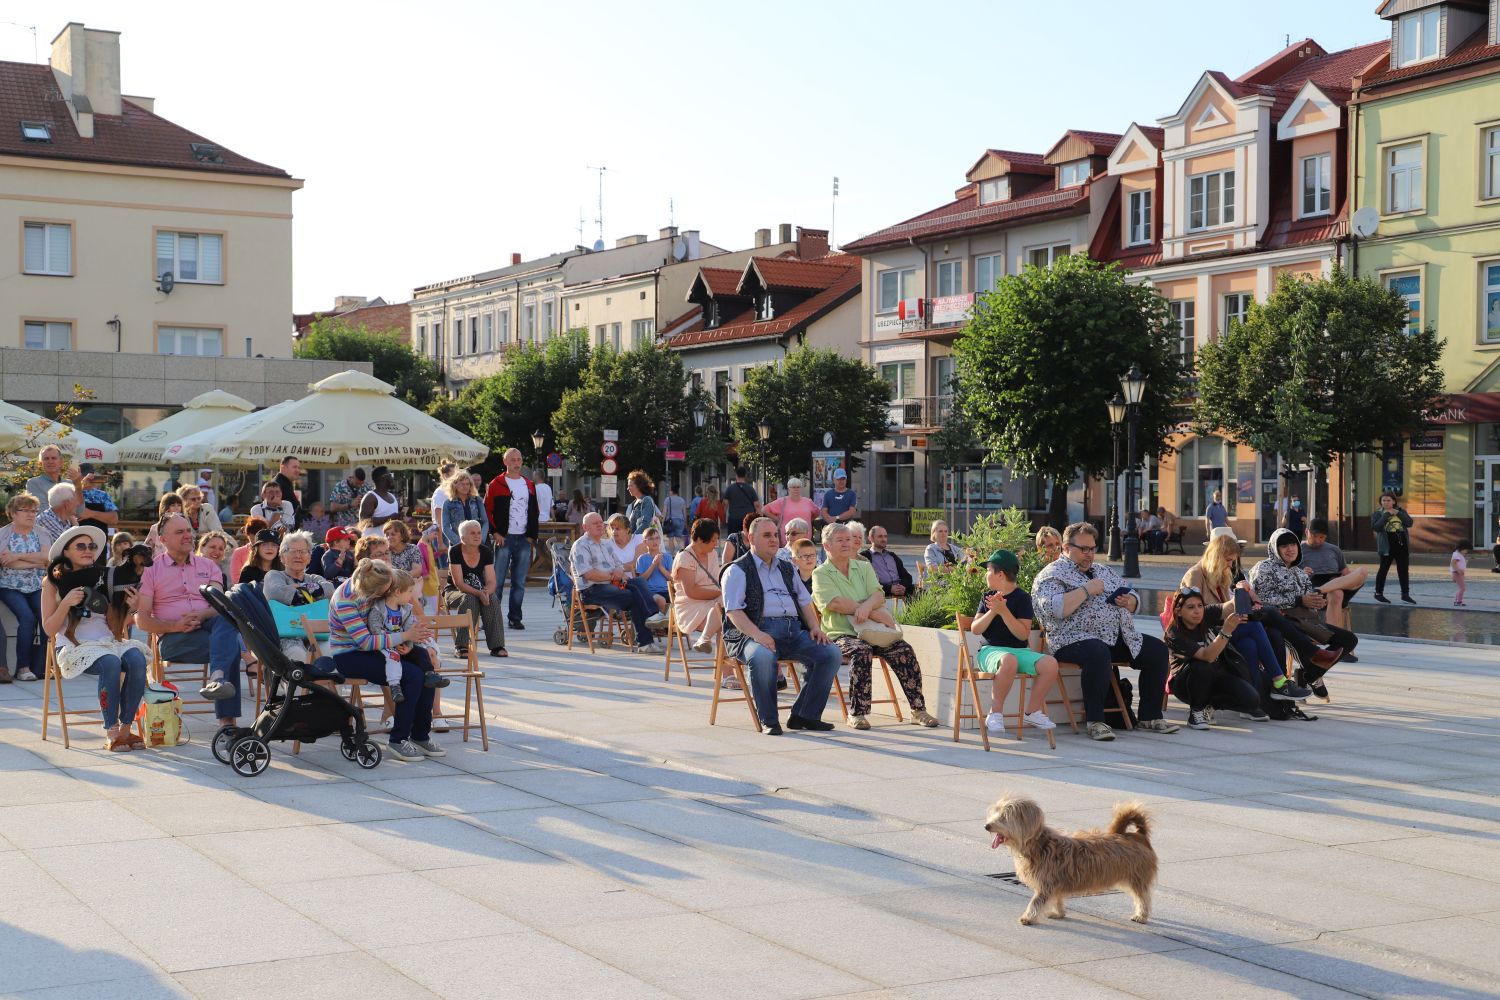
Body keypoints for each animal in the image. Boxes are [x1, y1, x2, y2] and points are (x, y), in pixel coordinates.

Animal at [984, 791, 1158, 929]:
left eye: (1004, 817)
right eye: (996, 813)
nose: (987, 826)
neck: (1039, 844)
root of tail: (1139, 836)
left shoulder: (1045, 884)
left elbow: (1035, 902)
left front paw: (1028, 917)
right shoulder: (1055, 883)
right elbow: (1057, 899)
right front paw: (1059, 912)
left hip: (1137, 877)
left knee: (1143, 897)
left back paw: (1141, 915)